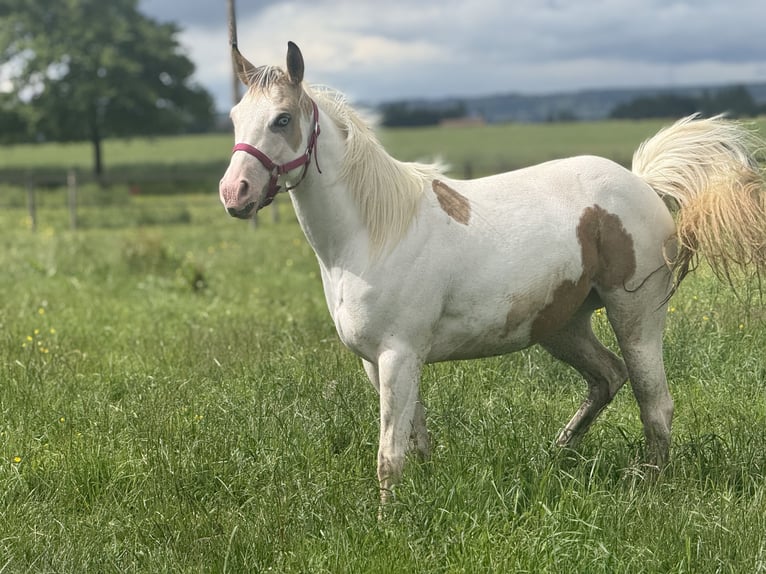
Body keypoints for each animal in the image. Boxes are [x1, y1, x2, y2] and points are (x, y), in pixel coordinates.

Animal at [219, 41, 766, 507]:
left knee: (655, 402)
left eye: (282, 119)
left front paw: (387, 520)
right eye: (234, 118)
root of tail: (643, 183)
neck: (372, 235)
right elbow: (416, 439)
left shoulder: (398, 354)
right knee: (607, 378)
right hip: (562, 326)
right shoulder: (381, 362)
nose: (234, 193)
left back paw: (649, 484)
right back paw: (556, 455)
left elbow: (389, 453)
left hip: (635, 315)